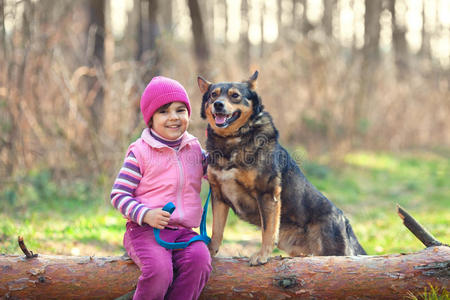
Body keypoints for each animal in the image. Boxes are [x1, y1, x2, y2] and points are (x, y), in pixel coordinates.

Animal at [197, 70, 366, 264]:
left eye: (235, 96)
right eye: (213, 95)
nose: (218, 104)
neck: (231, 142)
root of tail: (345, 222)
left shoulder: (267, 193)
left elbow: (268, 231)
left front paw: (262, 255)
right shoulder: (219, 196)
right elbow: (217, 230)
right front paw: (210, 251)